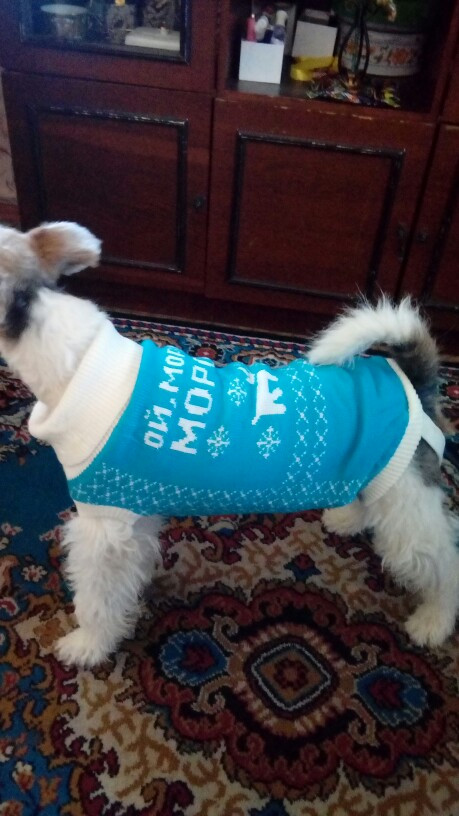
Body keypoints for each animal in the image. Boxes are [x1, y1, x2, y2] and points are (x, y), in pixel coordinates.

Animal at [0, 221, 457, 668]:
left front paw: (88, 645)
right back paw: (347, 519)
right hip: (379, 481)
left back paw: (434, 620)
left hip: (408, 512)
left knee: (444, 562)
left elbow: (96, 599)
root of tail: (413, 380)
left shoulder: (102, 528)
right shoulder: (134, 512)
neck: (77, 367)